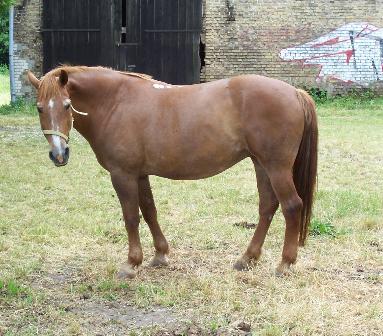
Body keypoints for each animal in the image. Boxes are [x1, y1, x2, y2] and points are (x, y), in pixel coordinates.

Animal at [27, 65, 318, 278]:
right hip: (261, 164)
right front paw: (160, 255)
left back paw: (285, 263)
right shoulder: (140, 174)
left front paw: (131, 263)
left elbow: (131, 217)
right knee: (268, 206)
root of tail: (295, 92)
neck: (116, 102)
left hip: (276, 167)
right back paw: (247, 258)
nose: (59, 154)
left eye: (67, 105)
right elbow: (149, 212)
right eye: (39, 108)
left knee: (291, 206)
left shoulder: (123, 174)